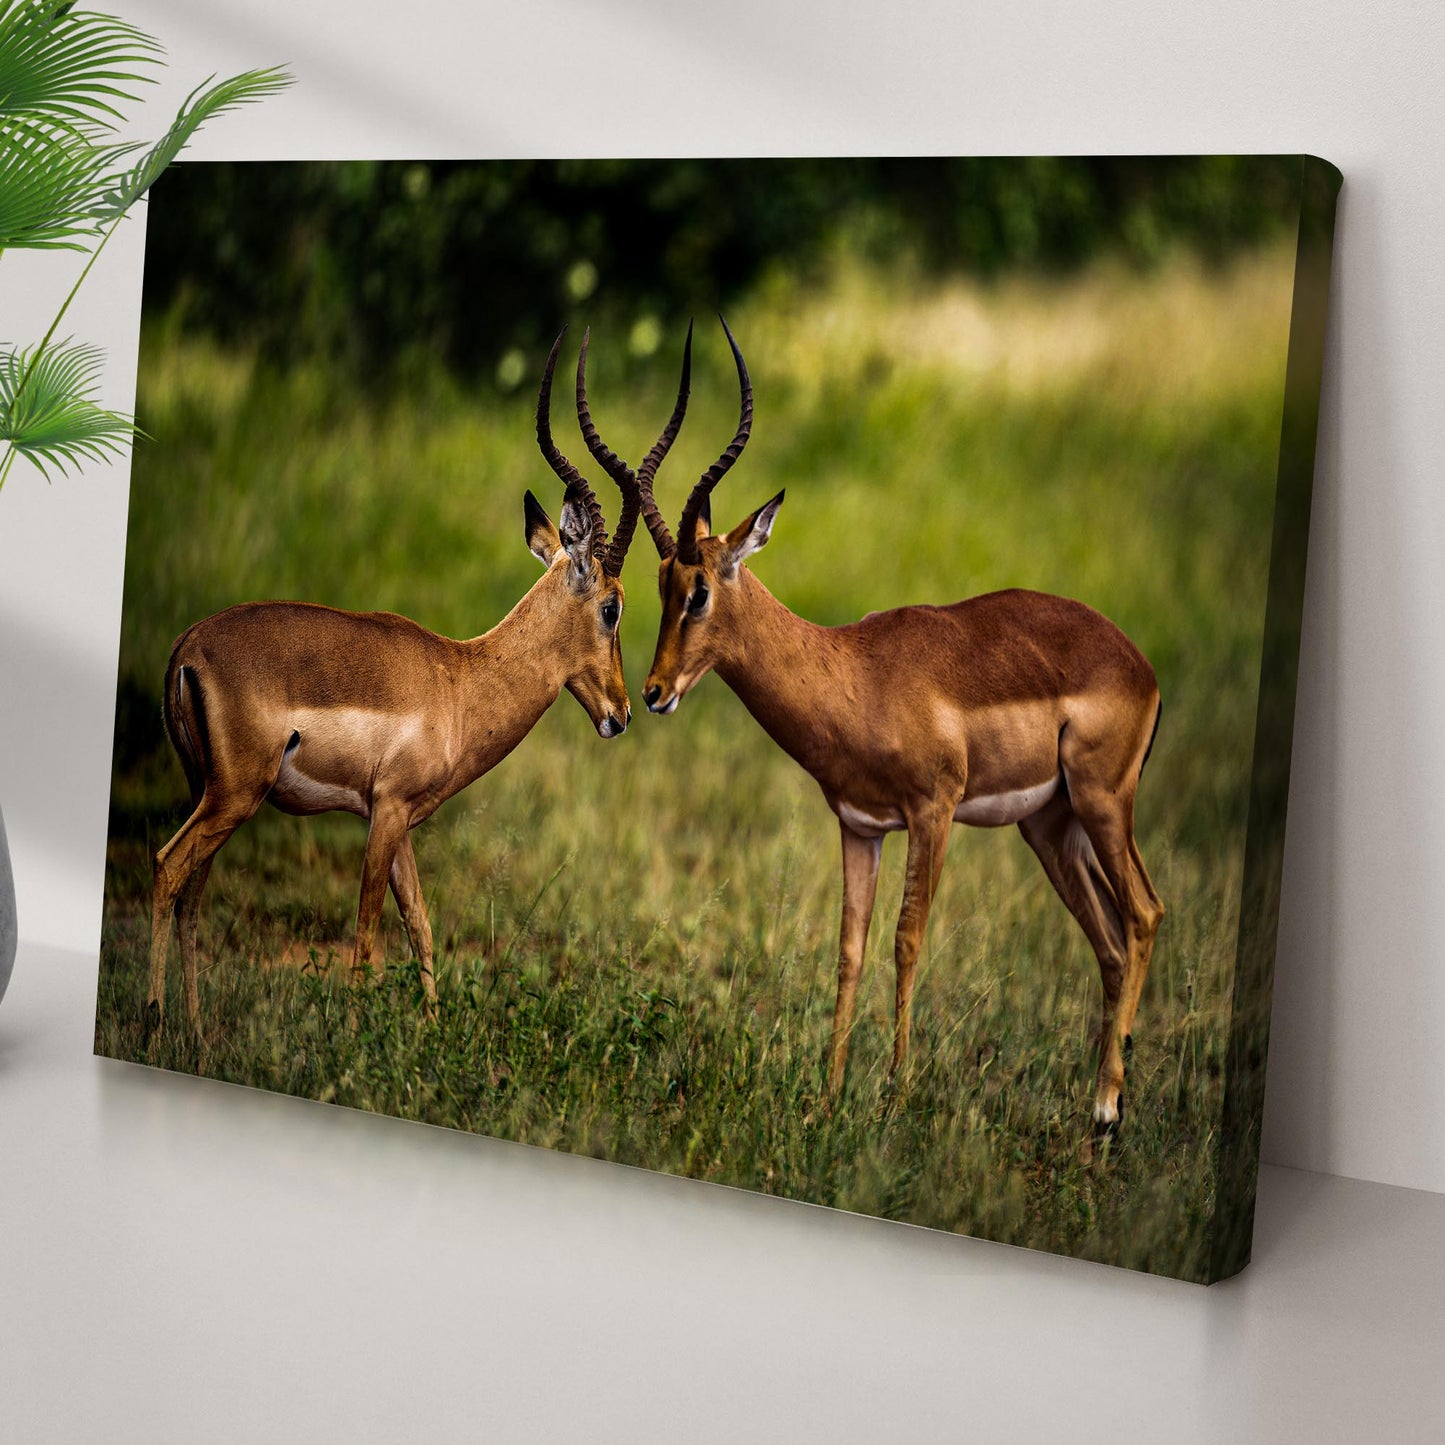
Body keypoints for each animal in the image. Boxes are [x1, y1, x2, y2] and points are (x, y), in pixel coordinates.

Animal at [145, 329, 679, 1039]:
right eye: (612, 607)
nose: (621, 711)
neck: (461, 680)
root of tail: (186, 647)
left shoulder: (397, 823)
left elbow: (420, 925)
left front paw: (431, 1030)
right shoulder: (388, 812)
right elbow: (368, 935)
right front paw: (353, 1036)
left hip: (208, 792)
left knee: (192, 894)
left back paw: (196, 1030)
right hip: (235, 795)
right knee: (167, 867)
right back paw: (154, 1016)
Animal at [605, 318, 1164, 1129]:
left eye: (700, 589)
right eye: (658, 584)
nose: (650, 693)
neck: (855, 673)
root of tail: (1138, 663)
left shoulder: (932, 812)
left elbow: (906, 939)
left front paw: (895, 1093)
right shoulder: (859, 825)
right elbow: (849, 948)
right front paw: (827, 1098)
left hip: (1102, 802)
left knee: (1145, 914)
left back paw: (1108, 1107)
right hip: (1049, 823)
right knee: (1112, 941)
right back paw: (1096, 1109)